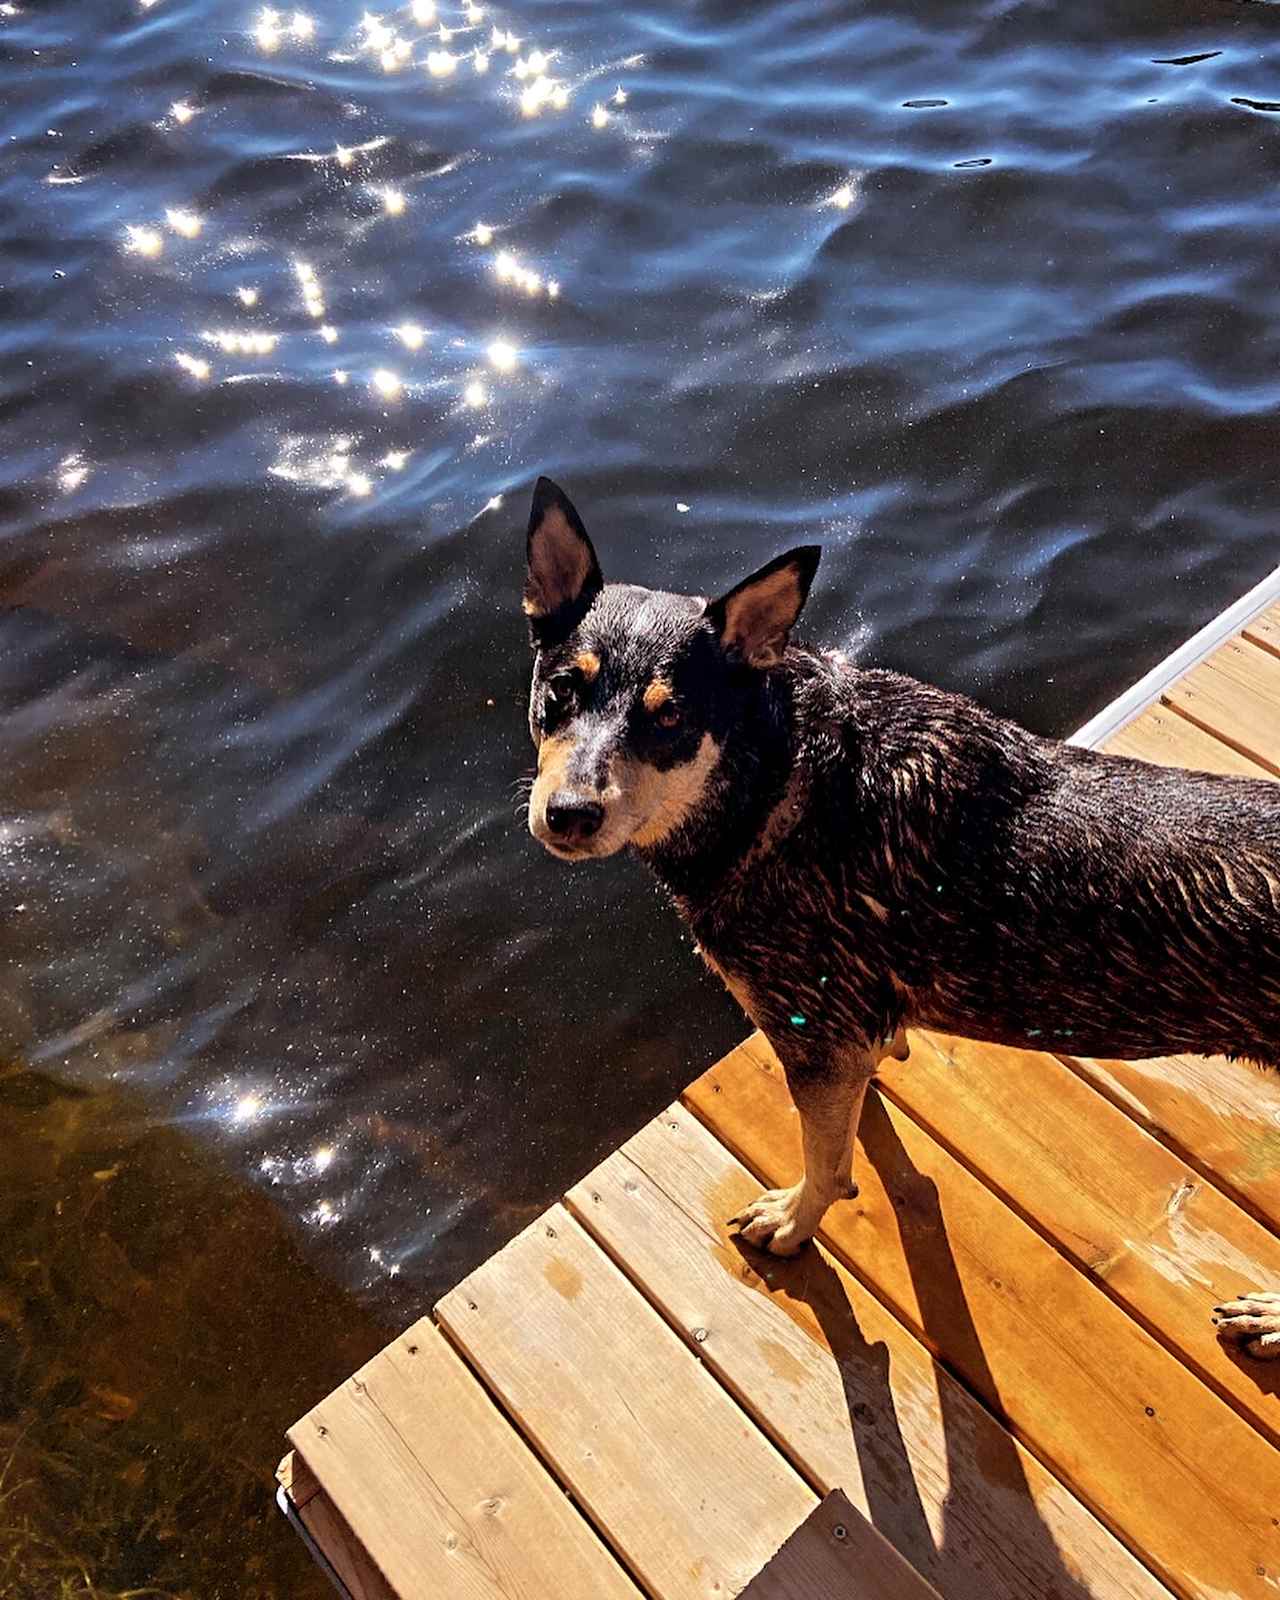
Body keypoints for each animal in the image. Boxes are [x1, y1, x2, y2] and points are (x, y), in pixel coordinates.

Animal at [518, 473, 1280, 1363]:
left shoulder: (813, 1035)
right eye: (560, 692)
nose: (568, 815)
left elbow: (825, 1162)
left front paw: (793, 1222)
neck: (774, 781)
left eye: (669, 718)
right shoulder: (846, 1033)